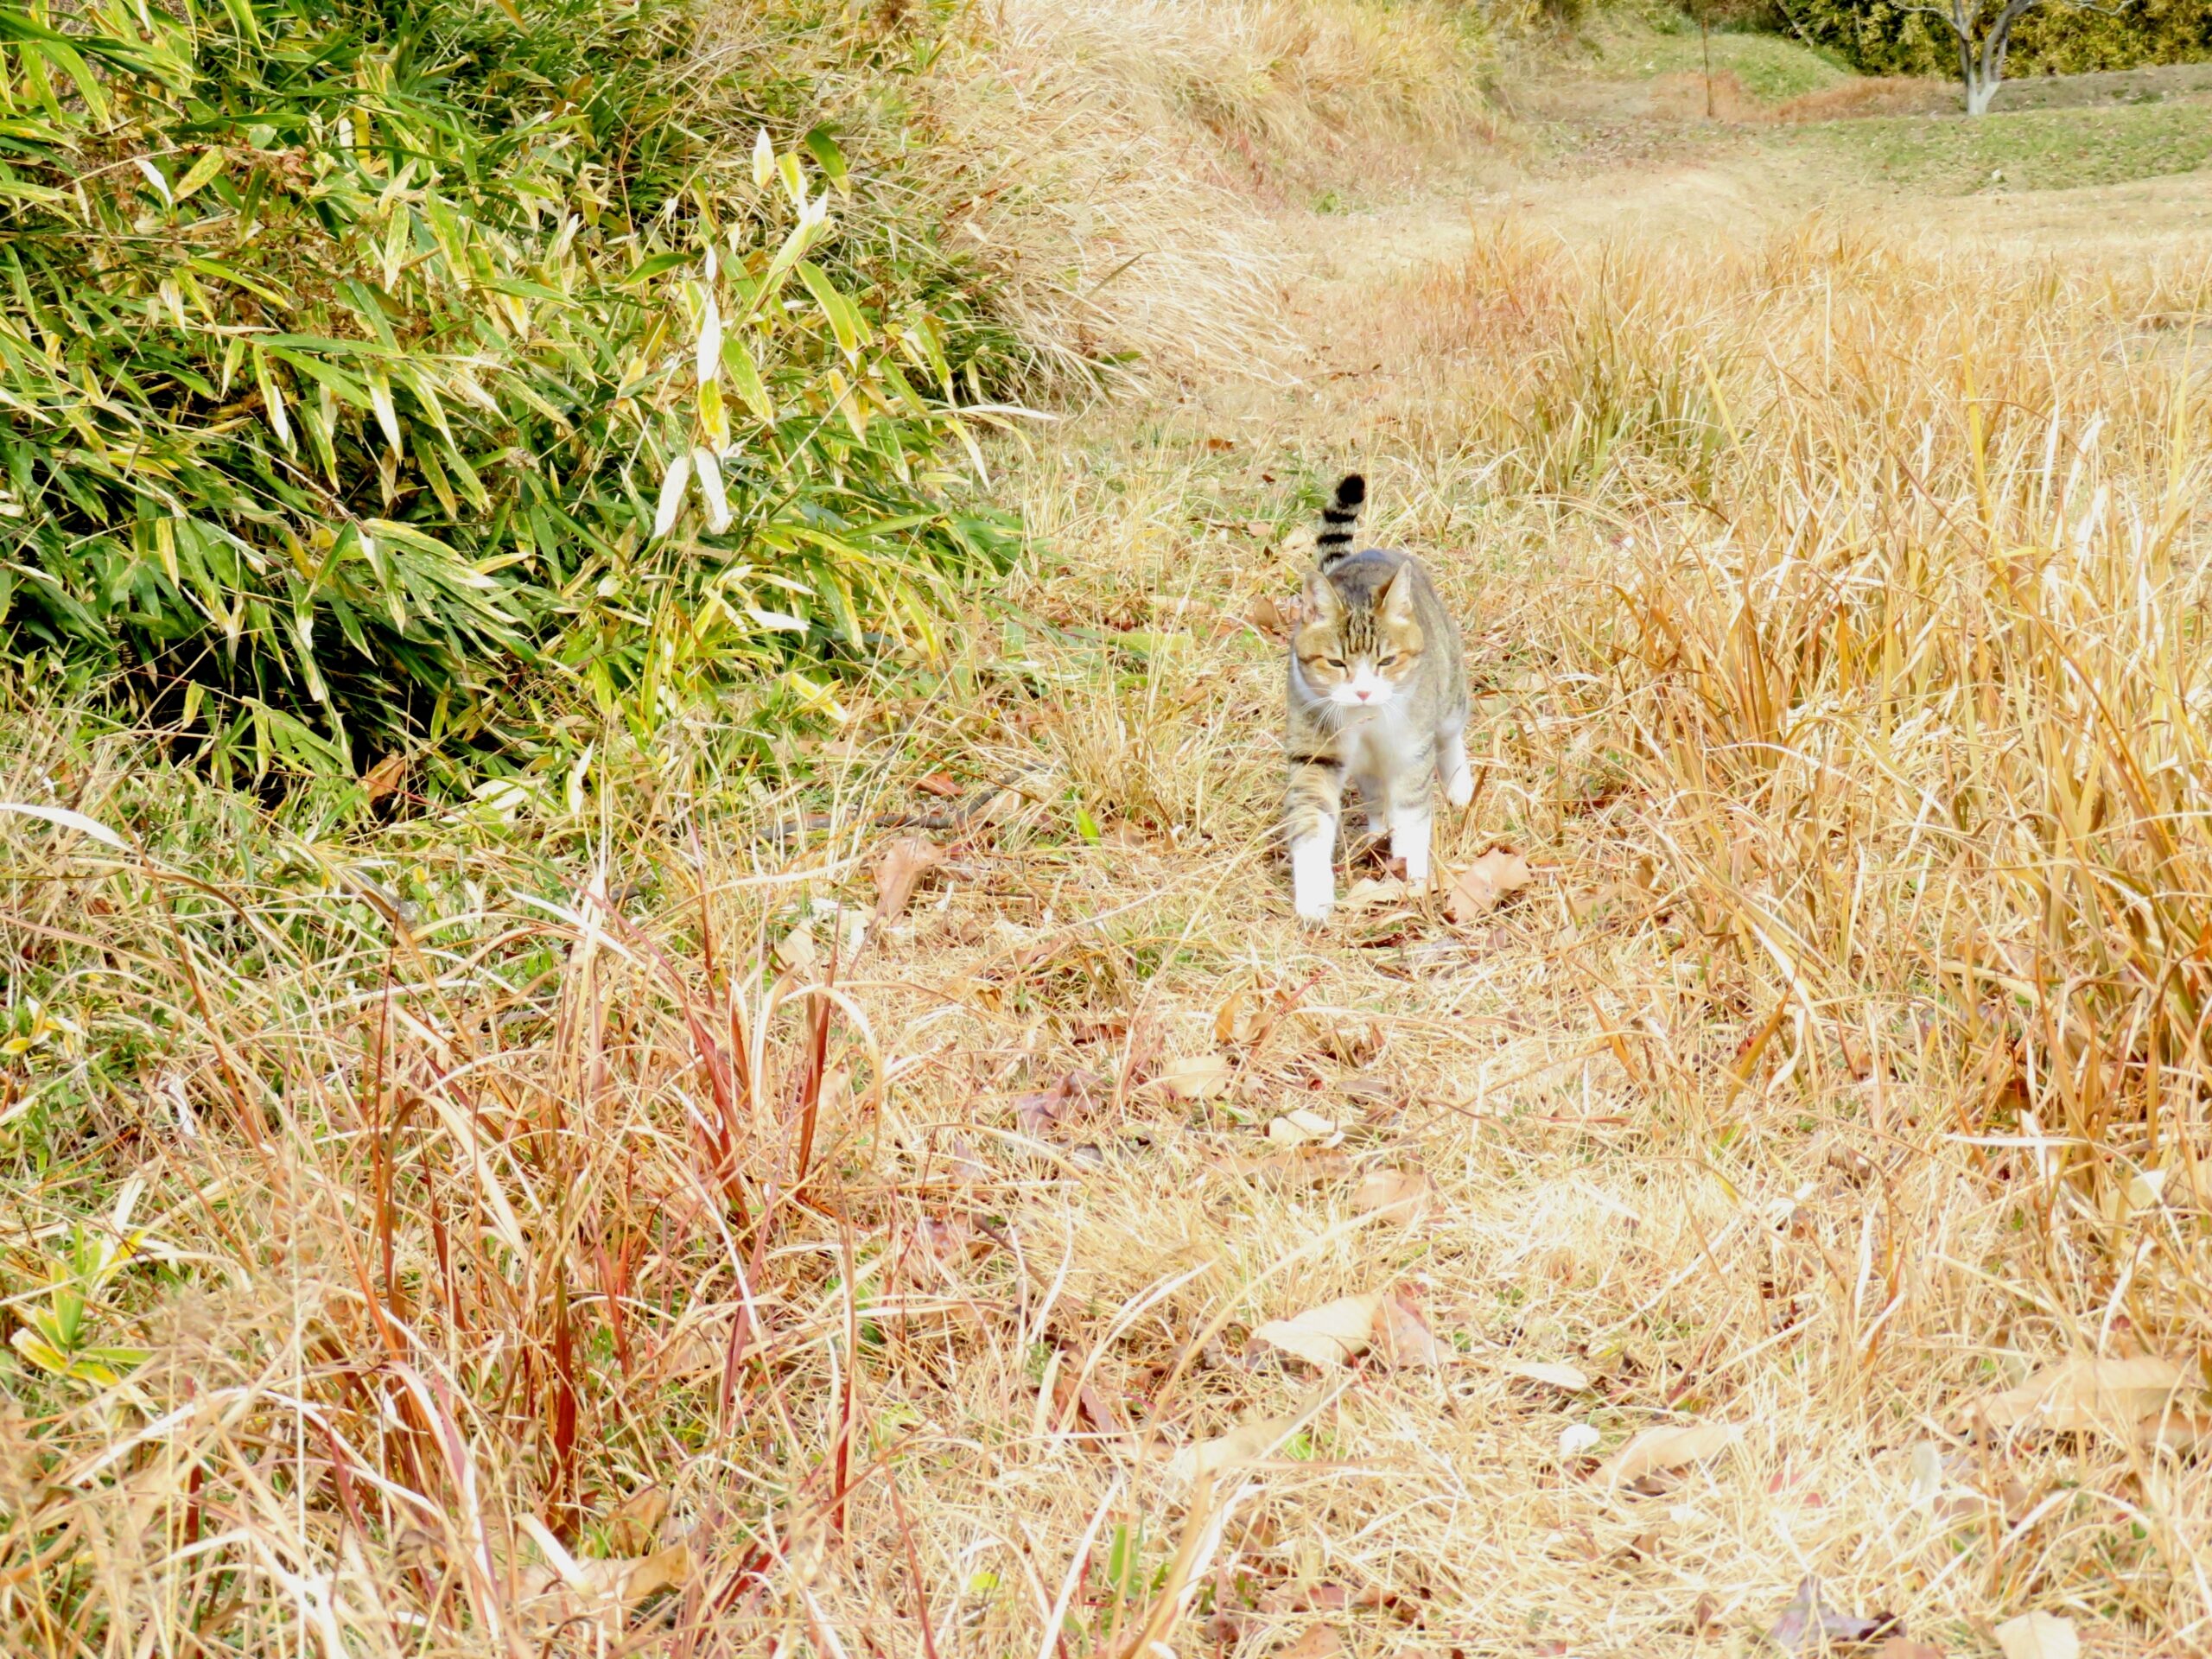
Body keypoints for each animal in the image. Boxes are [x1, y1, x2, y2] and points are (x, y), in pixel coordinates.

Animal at [1282, 473, 1468, 929]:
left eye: (1386, 660)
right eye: (1335, 662)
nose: (1364, 690)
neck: (1365, 720)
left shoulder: (1411, 754)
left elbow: (1412, 816)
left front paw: (1412, 880)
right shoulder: (1315, 754)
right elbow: (1310, 822)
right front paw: (1314, 898)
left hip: (1448, 695)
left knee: (1451, 735)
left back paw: (1460, 789)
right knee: (1374, 792)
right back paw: (1376, 830)